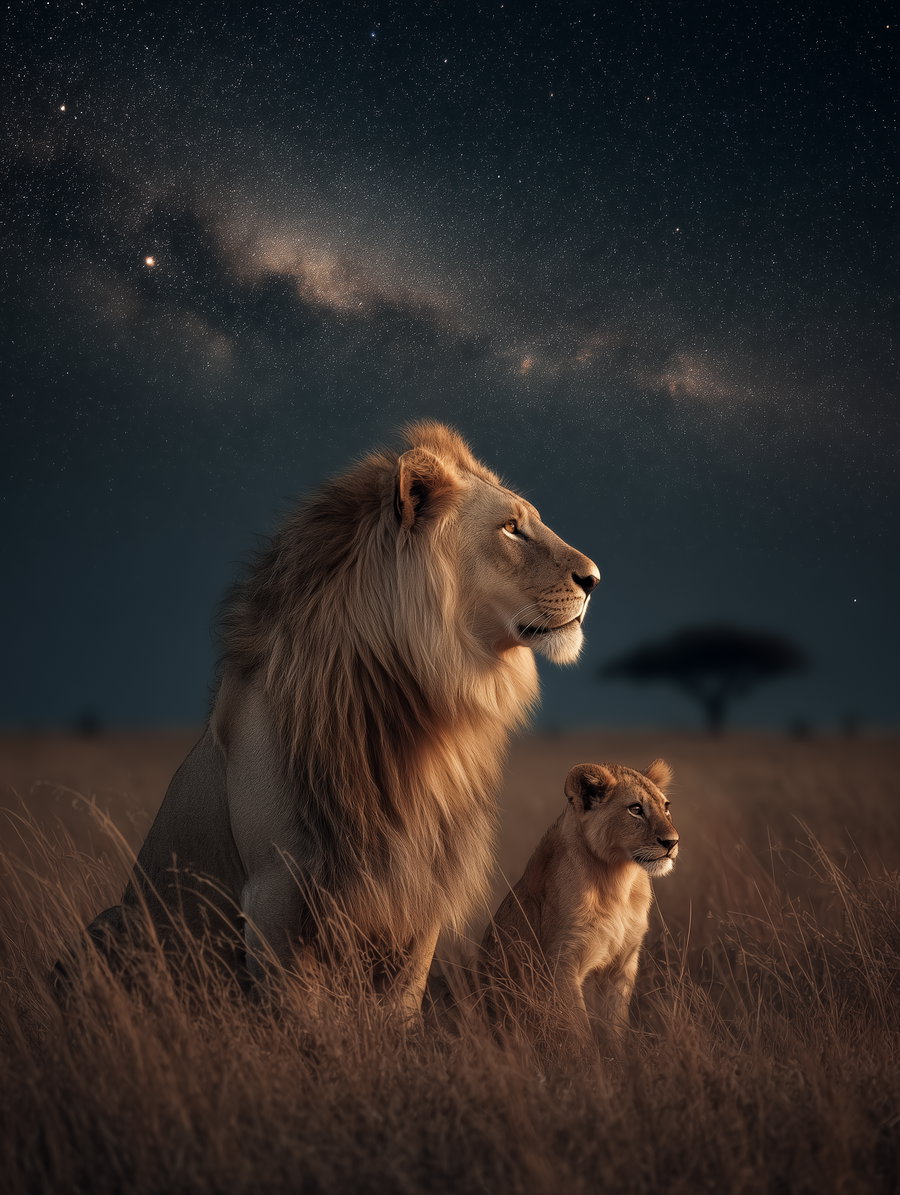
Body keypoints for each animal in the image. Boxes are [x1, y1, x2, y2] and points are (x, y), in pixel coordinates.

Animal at [85, 422, 599, 1015]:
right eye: (511, 529)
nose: (595, 579)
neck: (418, 712)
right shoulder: (274, 894)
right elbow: (304, 1020)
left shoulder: (421, 889)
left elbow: (399, 1006)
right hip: (108, 925)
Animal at [478, 759, 679, 1048]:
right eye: (636, 809)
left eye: (666, 807)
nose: (672, 842)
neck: (617, 881)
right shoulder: (562, 962)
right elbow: (578, 1030)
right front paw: (588, 1059)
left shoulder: (623, 963)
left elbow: (615, 1024)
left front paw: (619, 1055)